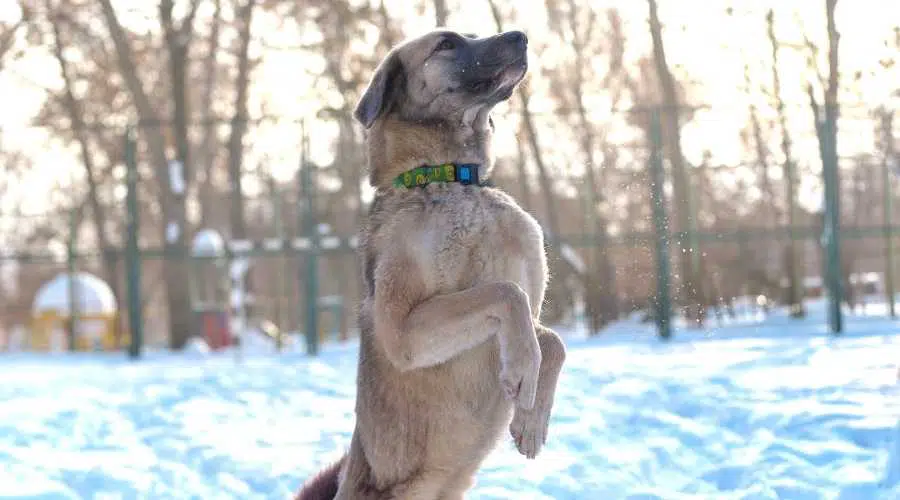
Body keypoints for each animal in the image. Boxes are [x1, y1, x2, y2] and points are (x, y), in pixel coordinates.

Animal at [296, 28, 568, 500]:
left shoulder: (530, 306)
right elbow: (504, 293)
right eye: (446, 44)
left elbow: (550, 338)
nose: (520, 35)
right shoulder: (403, 330)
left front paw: (531, 415)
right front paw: (522, 371)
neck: (451, 178)